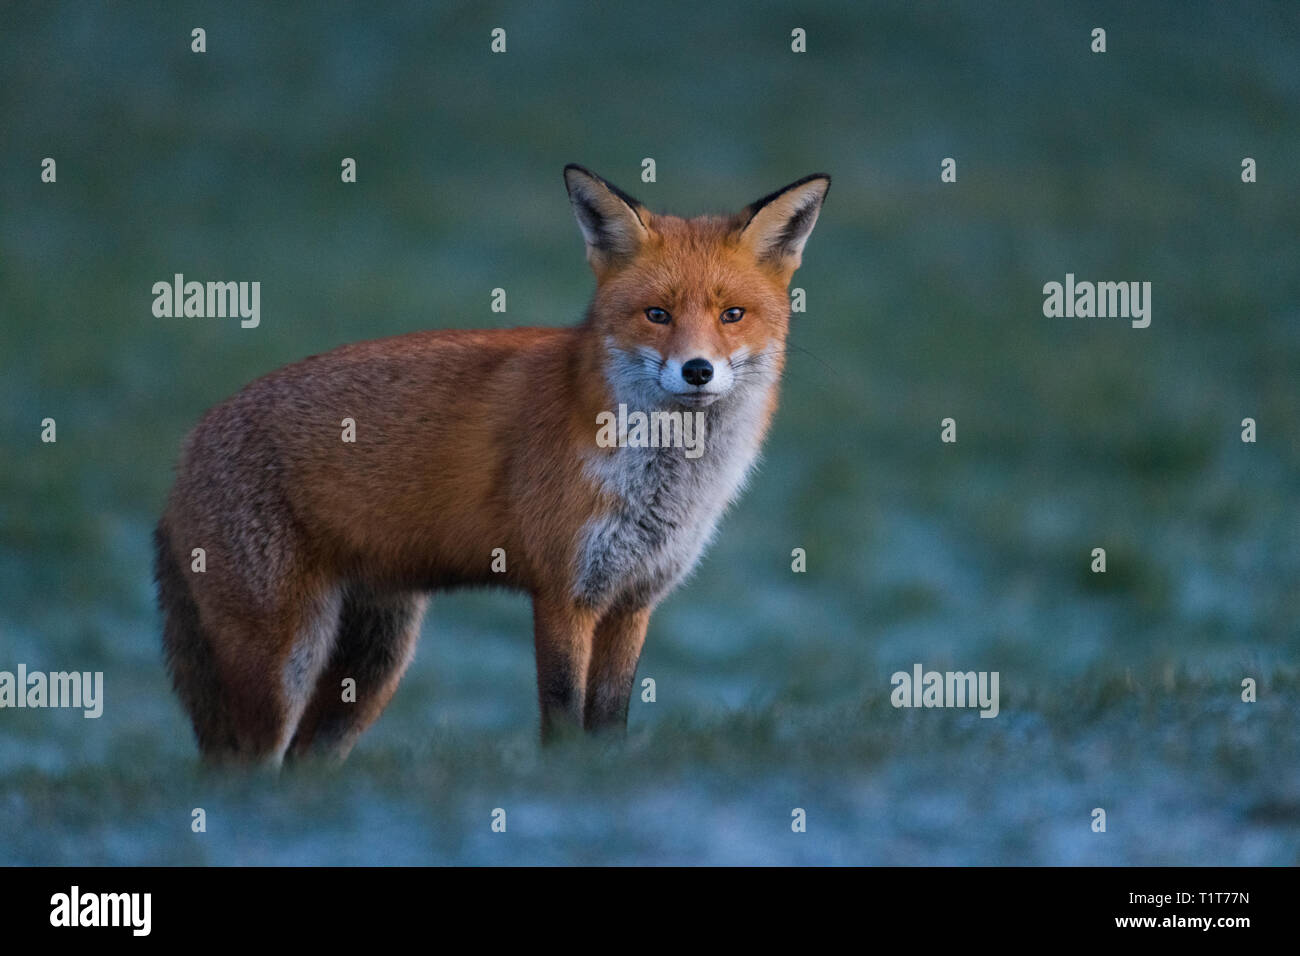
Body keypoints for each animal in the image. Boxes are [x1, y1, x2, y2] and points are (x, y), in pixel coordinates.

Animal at [154, 164, 829, 765]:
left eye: (731, 314)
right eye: (657, 314)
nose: (697, 370)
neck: (662, 479)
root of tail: (185, 451)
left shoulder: (633, 599)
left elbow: (610, 721)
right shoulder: (563, 593)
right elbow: (562, 715)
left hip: (373, 663)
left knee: (300, 762)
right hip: (284, 658)